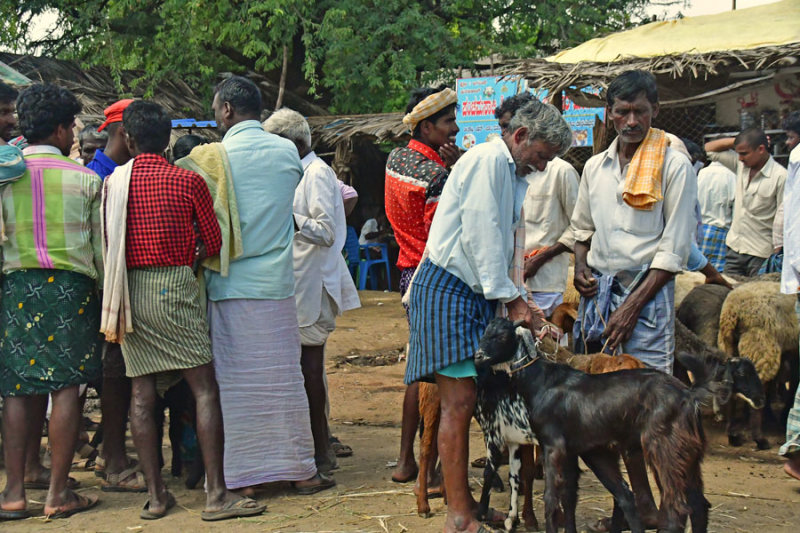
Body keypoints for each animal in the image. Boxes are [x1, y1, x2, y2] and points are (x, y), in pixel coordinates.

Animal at [472, 318, 708, 532]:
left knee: (676, 506)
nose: (478, 356)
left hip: (664, 448)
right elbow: (568, 496)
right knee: (693, 503)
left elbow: (551, 499)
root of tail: (688, 396)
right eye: (484, 333)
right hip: (681, 455)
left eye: (502, 335)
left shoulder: (553, 446)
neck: (540, 380)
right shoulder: (570, 451)